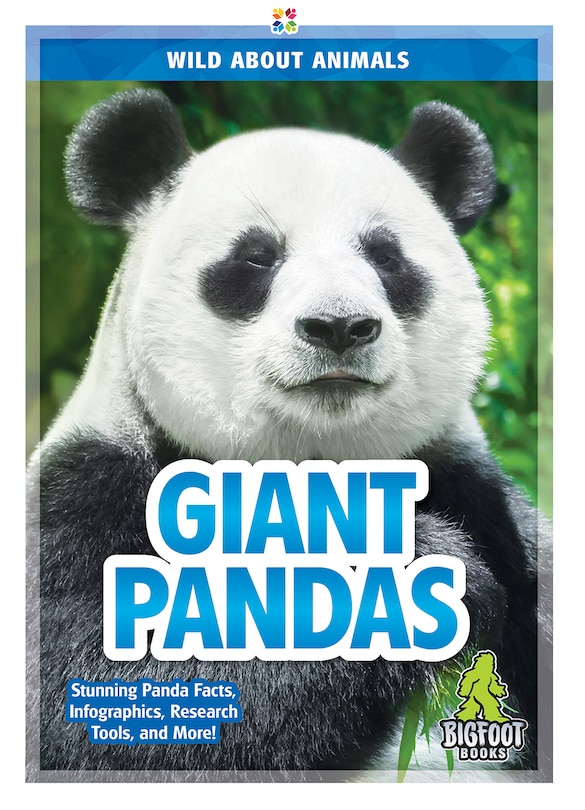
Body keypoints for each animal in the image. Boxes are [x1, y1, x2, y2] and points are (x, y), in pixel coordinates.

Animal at [27, 89, 550, 781]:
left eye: (385, 257)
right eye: (258, 256)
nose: (340, 327)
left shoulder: (481, 500)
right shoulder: (87, 499)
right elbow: (109, 706)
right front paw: (416, 571)